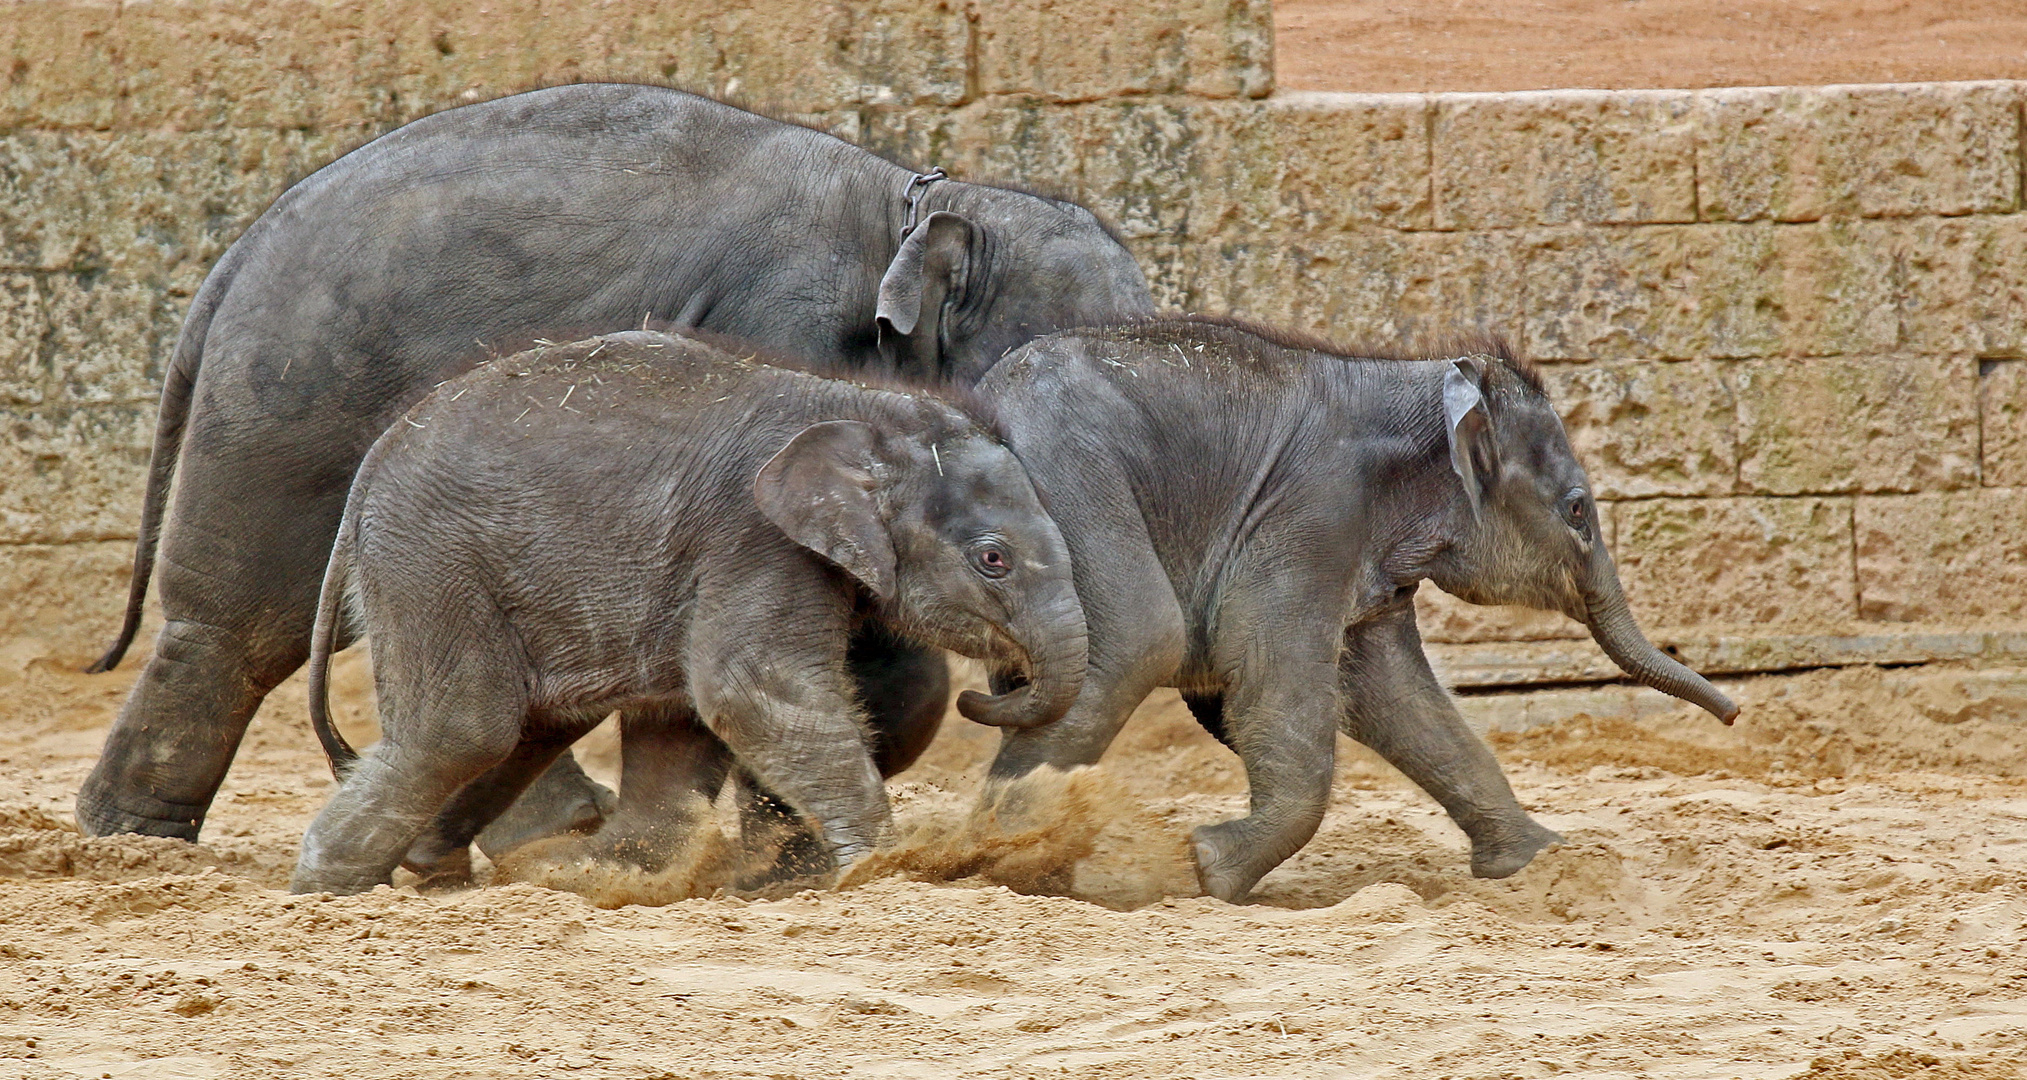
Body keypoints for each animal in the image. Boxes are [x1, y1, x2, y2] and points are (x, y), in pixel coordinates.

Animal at [291, 328, 1086, 891]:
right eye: (993, 559)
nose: (987, 693)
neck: (857, 403)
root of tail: (366, 479)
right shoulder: (752, 538)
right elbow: (745, 689)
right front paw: (883, 870)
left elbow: (683, 720)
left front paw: (624, 874)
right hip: (432, 567)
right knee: (465, 730)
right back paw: (328, 889)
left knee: (525, 730)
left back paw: (437, 867)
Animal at [972, 314, 1735, 899]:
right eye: (1577, 510)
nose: (1733, 713)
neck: (1414, 383)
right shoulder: (1311, 515)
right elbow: (1272, 671)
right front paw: (1210, 867)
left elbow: (1397, 697)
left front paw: (1543, 861)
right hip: (1069, 481)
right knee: (1136, 639)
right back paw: (997, 858)